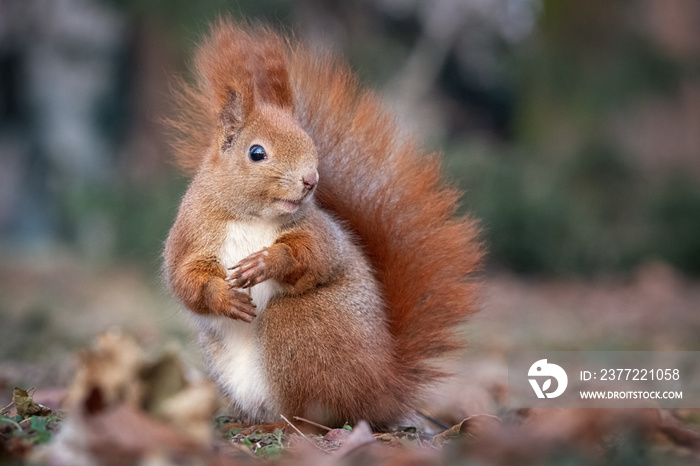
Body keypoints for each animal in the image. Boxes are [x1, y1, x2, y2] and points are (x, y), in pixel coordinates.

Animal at [162, 19, 484, 430]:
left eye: (309, 141)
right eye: (256, 152)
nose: (311, 180)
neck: (252, 216)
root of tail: (384, 388)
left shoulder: (319, 231)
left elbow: (316, 256)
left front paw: (268, 262)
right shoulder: (191, 236)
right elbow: (186, 280)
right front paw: (223, 296)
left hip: (302, 327)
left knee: (316, 415)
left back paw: (287, 425)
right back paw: (248, 422)